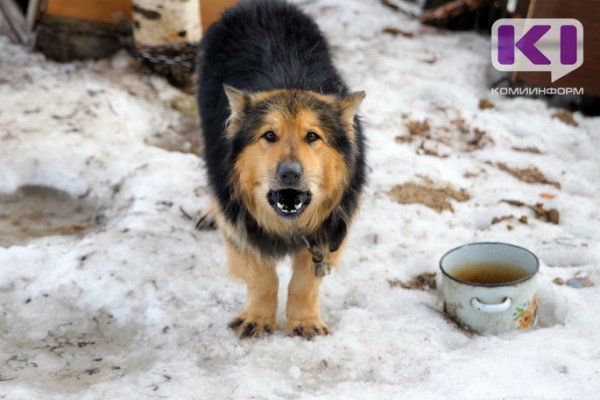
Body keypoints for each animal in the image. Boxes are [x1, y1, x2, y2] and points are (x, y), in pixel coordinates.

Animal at [197, 0, 366, 340]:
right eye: (269, 135)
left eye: (312, 136)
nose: (290, 173)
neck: (288, 227)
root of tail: (256, 4)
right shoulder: (241, 228)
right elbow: (263, 277)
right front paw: (258, 318)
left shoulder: (329, 233)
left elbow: (304, 282)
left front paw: (304, 321)